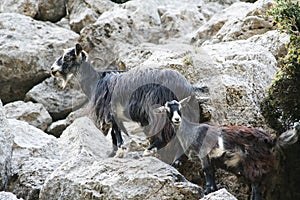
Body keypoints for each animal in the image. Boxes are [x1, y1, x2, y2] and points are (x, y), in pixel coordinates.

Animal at [50, 43, 204, 158]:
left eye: (67, 57)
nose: (52, 69)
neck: (96, 81)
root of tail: (187, 86)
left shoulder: (111, 112)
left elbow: (116, 133)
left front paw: (119, 151)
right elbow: (113, 134)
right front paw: (112, 153)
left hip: (157, 109)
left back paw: (148, 150)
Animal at [155, 96, 300, 199]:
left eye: (180, 107)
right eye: (167, 110)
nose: (177, 119)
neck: (192, 131)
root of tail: (271, 141)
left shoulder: (204, 153)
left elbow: (207, 171)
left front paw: (207, 191)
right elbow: (212, 173)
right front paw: (213, 190)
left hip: (255, 164)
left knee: (256, 187)